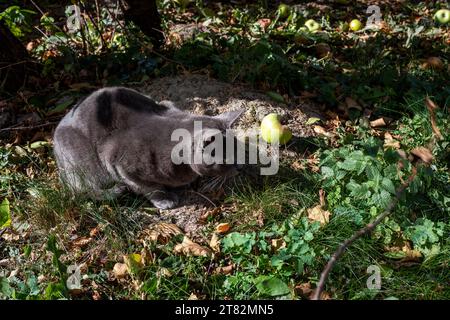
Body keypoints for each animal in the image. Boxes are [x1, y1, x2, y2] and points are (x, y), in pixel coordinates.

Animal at [53, 86, 243, 209]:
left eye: (240, 151)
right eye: (226, 158)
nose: (240, 167)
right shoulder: (119, 164)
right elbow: (148, 187)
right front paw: (164, 199)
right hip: (80, 161)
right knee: (82, 189)